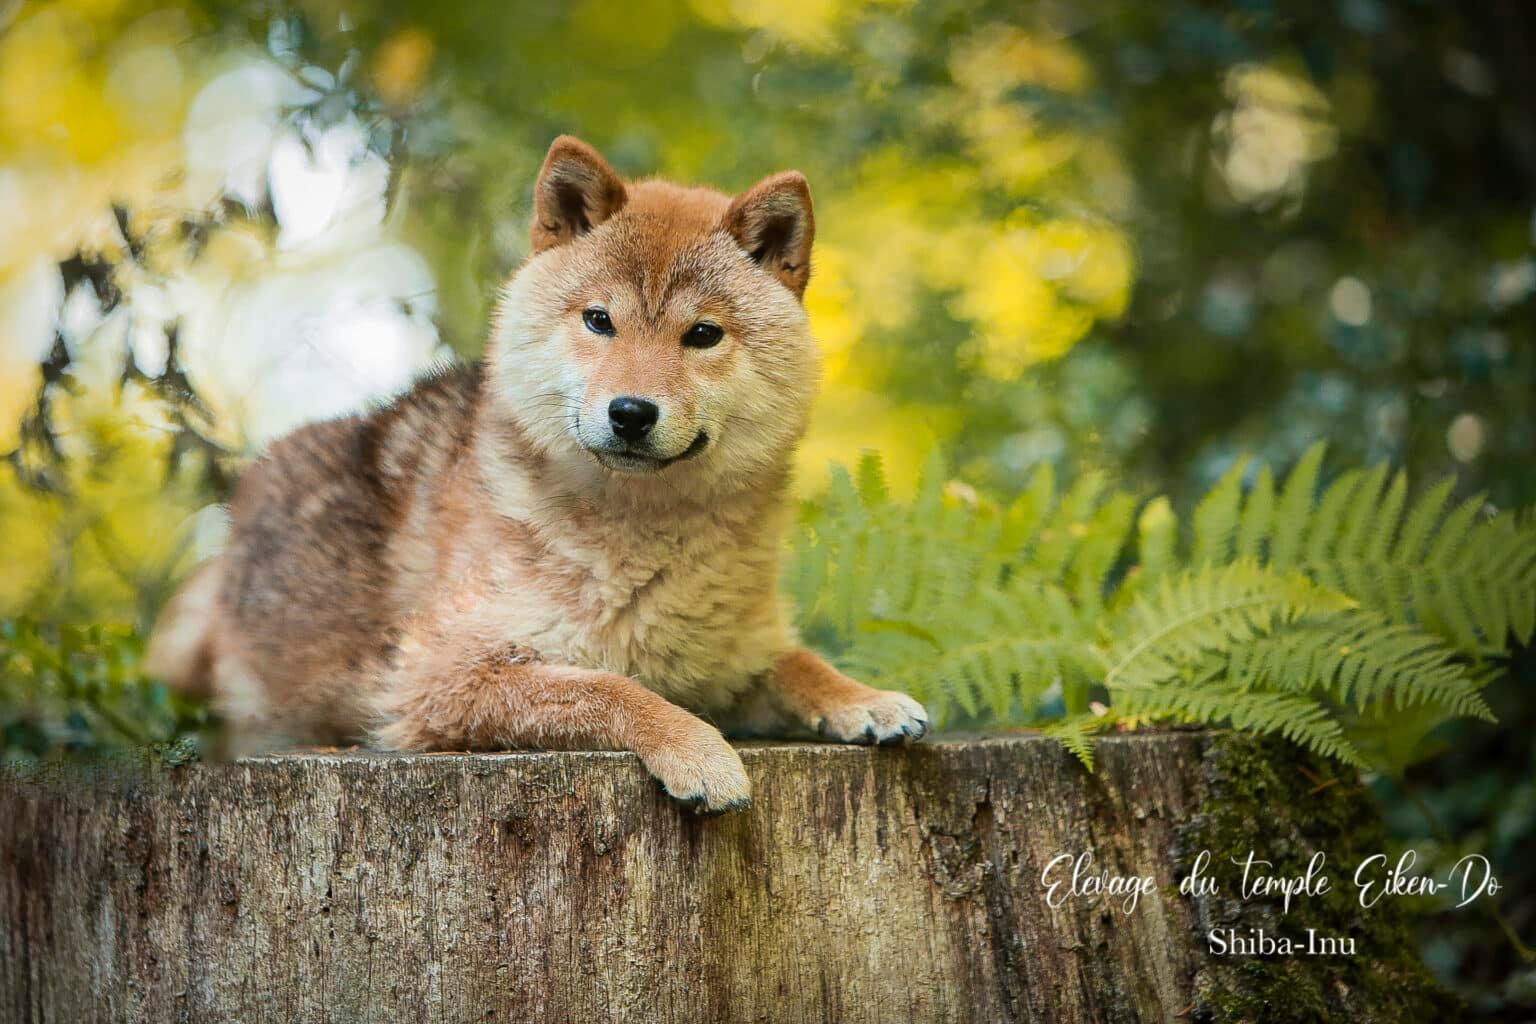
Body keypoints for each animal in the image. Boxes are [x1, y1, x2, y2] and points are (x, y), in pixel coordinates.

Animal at [149, 134, 927, 810]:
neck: (643, 539)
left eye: (703, 334)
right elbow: (610, 690)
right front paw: (698, 749)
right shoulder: (438, 679)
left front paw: (863, 698)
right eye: (599, 320)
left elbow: (794, 661)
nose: (631, 412)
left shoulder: (727, 658)